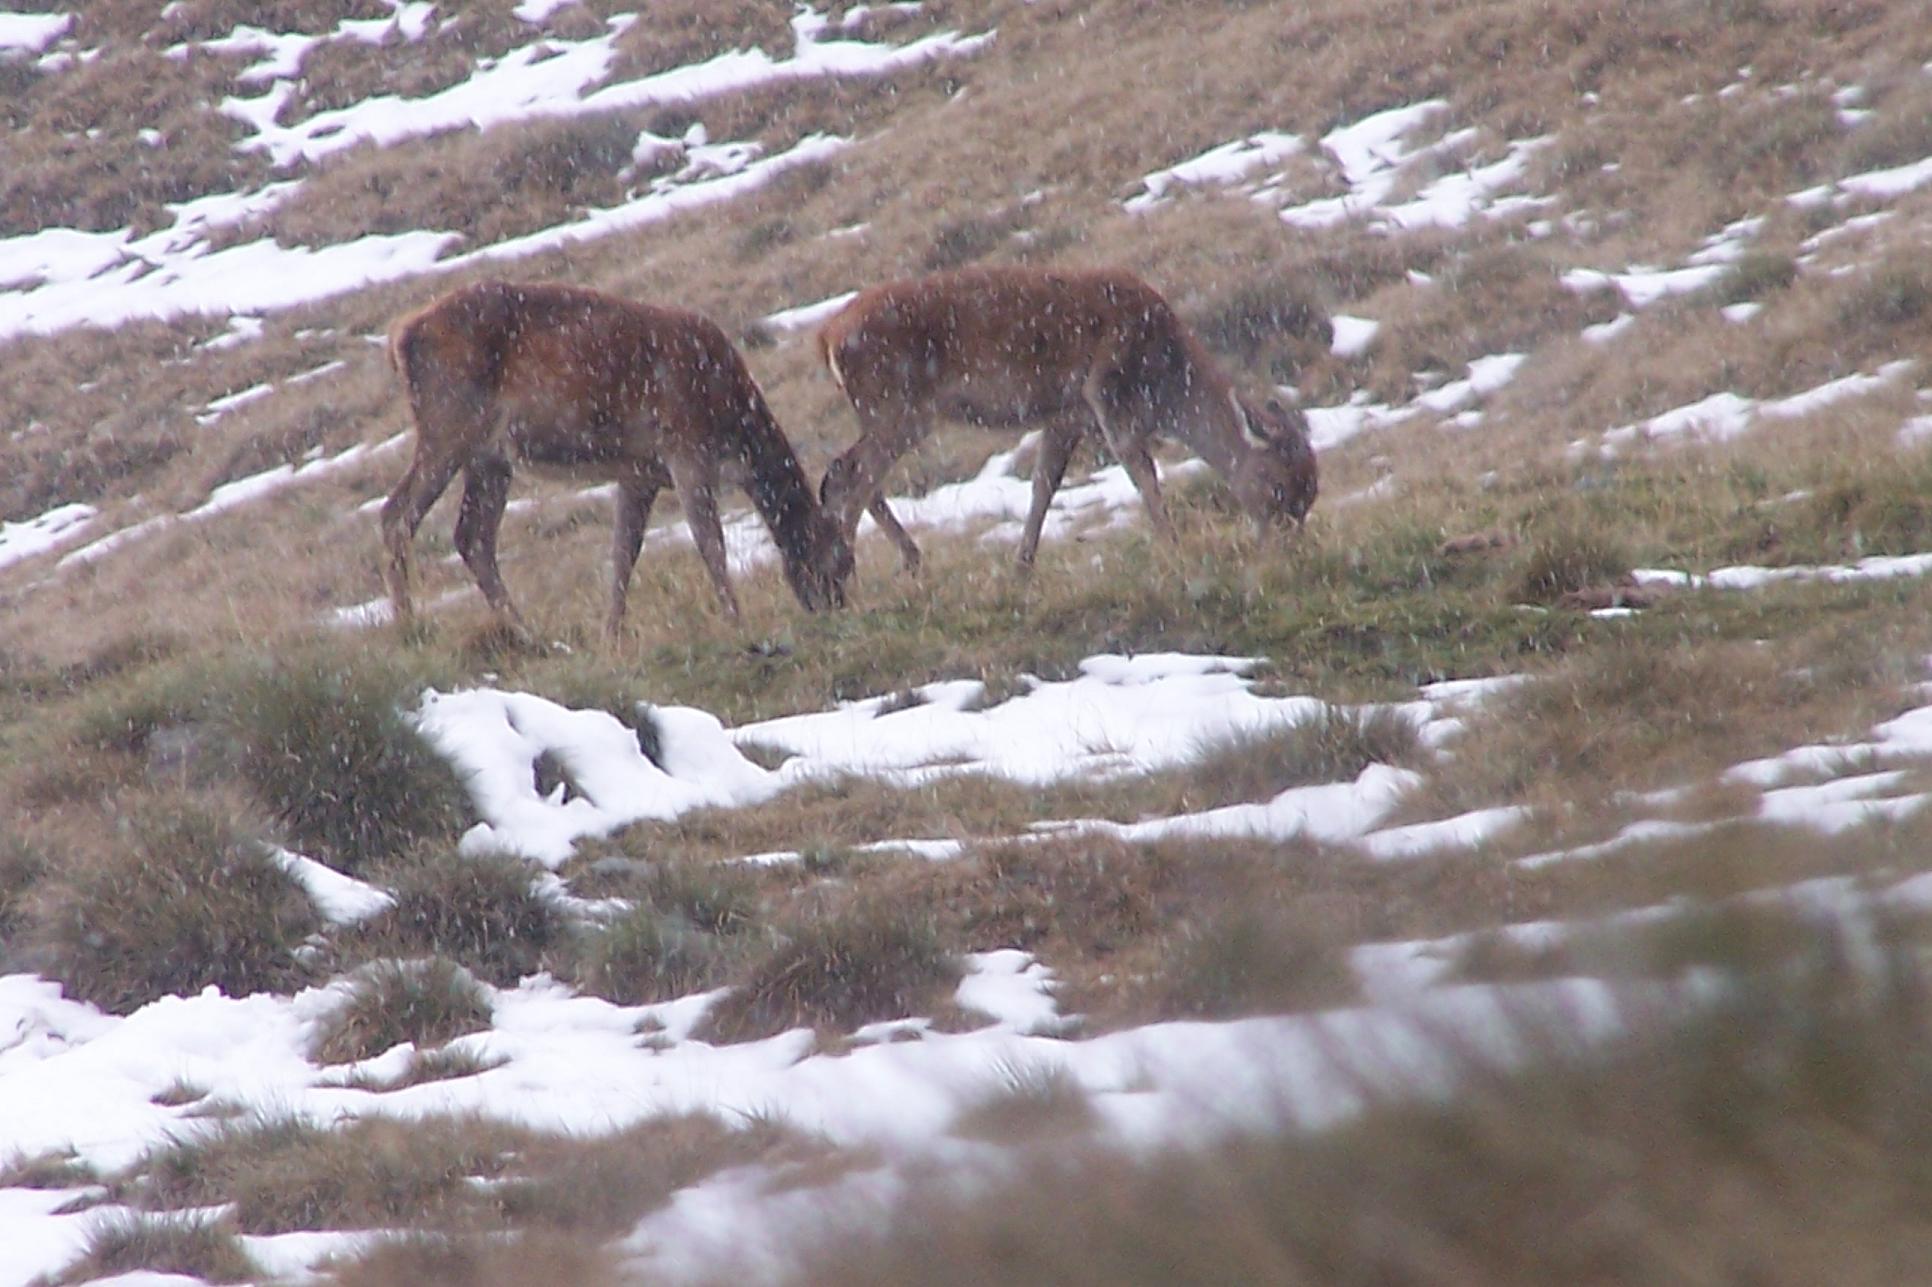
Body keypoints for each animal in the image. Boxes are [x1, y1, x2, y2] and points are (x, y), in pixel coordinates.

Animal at [380, 284, 850, 637]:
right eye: (837, 560)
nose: (836, 610)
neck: (734, 424)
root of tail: (400, 337)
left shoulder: (639, 471)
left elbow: (624, 552)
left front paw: (612, 636)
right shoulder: (686, 450)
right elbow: (710, 543)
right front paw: (737, 623)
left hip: (491, 457)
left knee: (472, 535)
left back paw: (527, 632)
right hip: (449, 423)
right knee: (397, 513)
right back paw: (410, 628)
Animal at [807, 262, 1321, 568]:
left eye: (1311, 492)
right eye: (1279, 486)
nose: (1291, 548)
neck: (1165, 385)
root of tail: (827, 337)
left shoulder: (1065, 416)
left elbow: (1044, 484)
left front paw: (1022, 565)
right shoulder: (1107, 393)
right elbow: (1142, 472)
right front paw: (1173, 548)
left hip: (888, 412)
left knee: (842, 471)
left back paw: (903, 560)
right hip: (898, 406)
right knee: (852, 475)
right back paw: (853, 575)